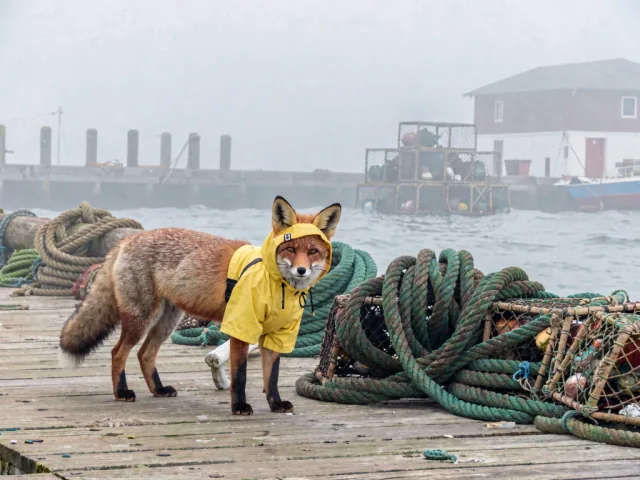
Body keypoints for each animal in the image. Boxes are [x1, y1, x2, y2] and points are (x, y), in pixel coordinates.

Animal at [58, 196, 341, 415]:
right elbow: (240, 376)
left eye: (313, 252)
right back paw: (121, 392)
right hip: (142, 318)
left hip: (167, 322)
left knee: (144, 354)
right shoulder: (241, 328)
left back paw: (158, 389)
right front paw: (239, 407)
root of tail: (127, 241)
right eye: (290, 249)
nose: (301, 270)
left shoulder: (276, 336)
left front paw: (275, 404)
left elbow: (271, 378)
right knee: (118, 353)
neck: (274, 284)